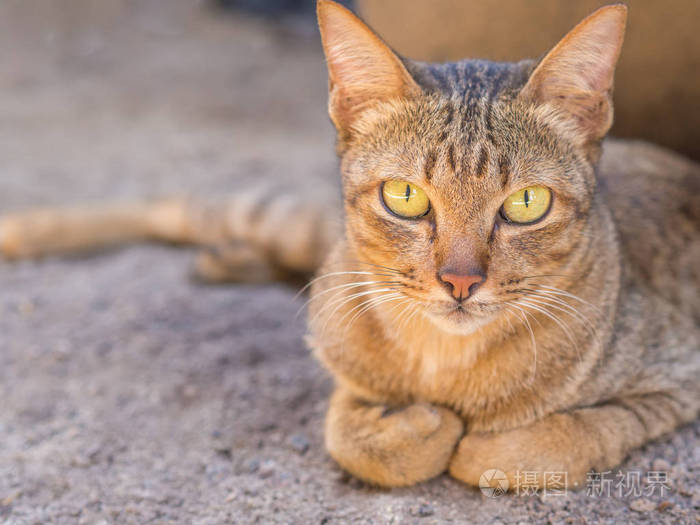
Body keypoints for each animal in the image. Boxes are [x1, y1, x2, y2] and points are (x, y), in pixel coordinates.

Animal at [1, 1, 700, 492]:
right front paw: (423, 426)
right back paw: (30, 231)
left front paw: (476, 440)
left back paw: (230, 259)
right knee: (183, 207)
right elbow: (354, 436)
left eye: (527, 204)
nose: (460, 281)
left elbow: (557, 439)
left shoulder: (677, 379)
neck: (443, 361)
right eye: (405, 196)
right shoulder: (341, 354)